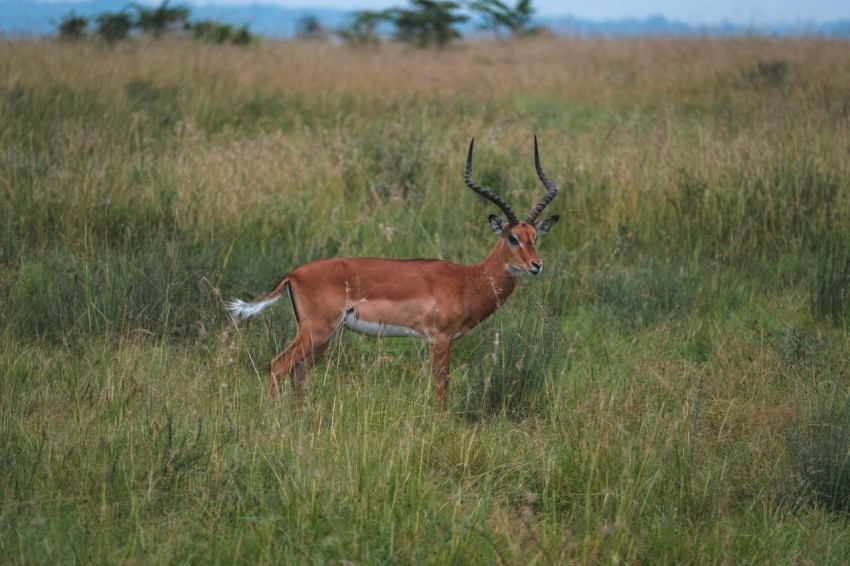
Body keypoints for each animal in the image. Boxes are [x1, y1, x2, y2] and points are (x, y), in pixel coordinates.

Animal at [227, 136, 560, 409]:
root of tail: (294, 274)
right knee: (277, 365)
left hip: (323, 337)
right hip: (316, 332)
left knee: (297, 372)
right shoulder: (440, 339)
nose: (536, 265)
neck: (467, 280)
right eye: (512, 237)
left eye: (534, 235)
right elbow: (442, 385)